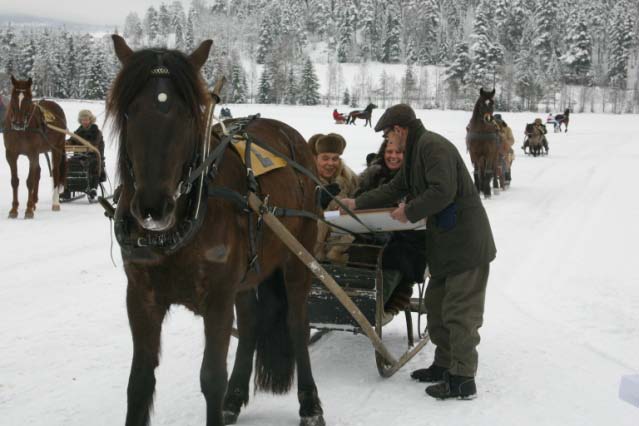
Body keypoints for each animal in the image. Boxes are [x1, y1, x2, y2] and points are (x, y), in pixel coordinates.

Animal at [3, 74, 66, 218]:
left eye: (28, 99)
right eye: (14, 97)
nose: (18, 123)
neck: (21, 131)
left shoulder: (32, 154)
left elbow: (29, 181)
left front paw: (28, 210)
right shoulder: (11, 154)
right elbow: (15, 181)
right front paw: (14, 209)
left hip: (57, 148)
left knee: (56, 172)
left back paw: (54, 203)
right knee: (38, 171)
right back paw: (34, 201)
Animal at [107, 35, 324, 426]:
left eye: (188, 113)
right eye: (129, 111)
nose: (153, 207)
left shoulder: (218, 299)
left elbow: (211, 377)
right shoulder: (142, 298)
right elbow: (139, 382)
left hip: (298, 258)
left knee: (297, 324)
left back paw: (310, 402)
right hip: (250, 272)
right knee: (251, 325)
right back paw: (234, 397)